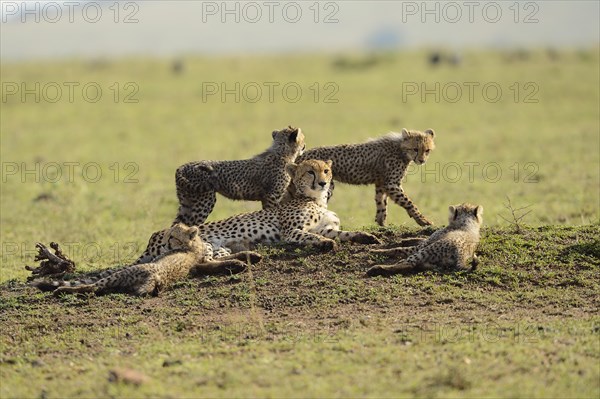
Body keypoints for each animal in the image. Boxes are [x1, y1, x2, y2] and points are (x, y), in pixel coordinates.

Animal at [31, 225, 258, 296]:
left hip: (118, 277)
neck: (192, 245)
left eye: (172, 236)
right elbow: (221, 259)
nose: (164, 243)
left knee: (92, 287)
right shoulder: (201, 262)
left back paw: (59, 290)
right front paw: (244, 259)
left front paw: (245, 258)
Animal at [137, 159, 380, 262]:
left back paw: (249, 255)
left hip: (217, 246)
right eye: (310, 172)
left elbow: (344, 233)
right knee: (203, 261)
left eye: (326, 171)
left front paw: (366, 237)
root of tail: (151, 239)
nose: (322, 183)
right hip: (199, 242)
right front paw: (327, 244)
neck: (316, 200)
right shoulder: (291, 231)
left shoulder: (325, 227)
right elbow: (312, 236)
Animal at [173, 125, 304, 227]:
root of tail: (183, 166)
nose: (305, 145)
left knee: (176, 224)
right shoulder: (271, 195)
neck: (282, 152)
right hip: (202, 201)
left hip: (187, 202)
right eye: (303, 139)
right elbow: (270, 212)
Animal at [296, 129, 434, 227]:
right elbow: (409, 203)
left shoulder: (381, 183)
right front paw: (423, 220)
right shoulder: (392, 184)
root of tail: (302, 155)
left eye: (427, 150)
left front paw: (382, 224)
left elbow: (381, 203)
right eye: (415, 149)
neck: (400, 149)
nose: (422, 160)